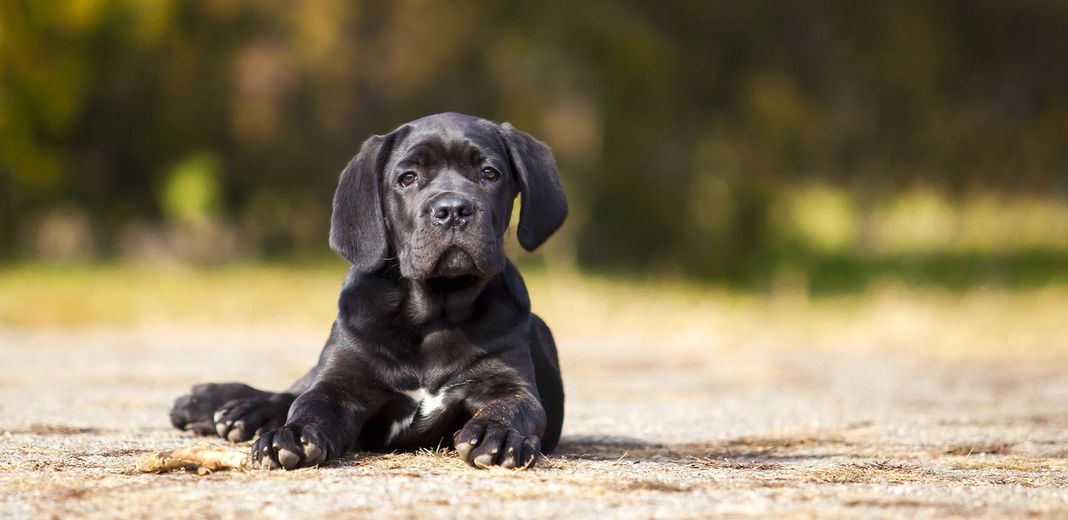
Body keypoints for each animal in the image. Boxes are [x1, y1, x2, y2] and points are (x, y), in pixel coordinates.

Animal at [167, 112, 568, 469]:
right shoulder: (340, 383)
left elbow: (515, 407)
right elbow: (309, 404)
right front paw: (291, 434)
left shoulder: (507, 383)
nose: (453, 209)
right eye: (408, 178)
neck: (432, 312)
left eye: (489, 173)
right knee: (292, 391)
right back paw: (223, 406)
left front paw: (497, 432)